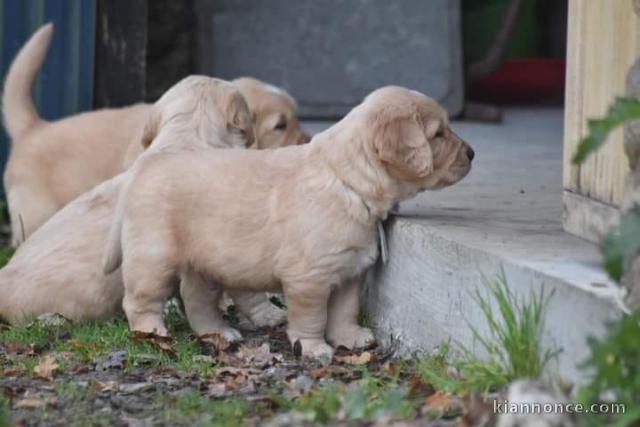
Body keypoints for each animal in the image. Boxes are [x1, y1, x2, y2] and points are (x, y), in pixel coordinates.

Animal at [104, 86, 476, 358]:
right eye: (438, 134)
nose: (473, 153)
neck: (349, 181)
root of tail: (146, 166)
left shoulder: (349, 271)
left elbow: (344, 310)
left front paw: (349, 337)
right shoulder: (308, 278)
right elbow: (313, 316)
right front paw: (313, 347)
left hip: (205, 265)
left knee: (197, 300)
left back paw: (219, 331)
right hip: (153, 257)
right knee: (139, 301)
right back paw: (153, 333)